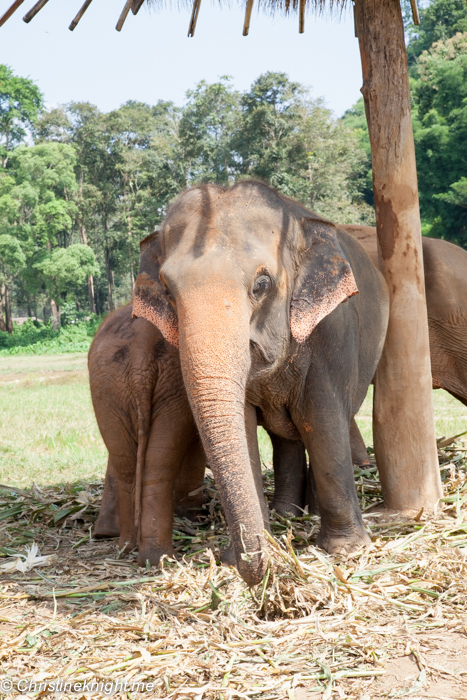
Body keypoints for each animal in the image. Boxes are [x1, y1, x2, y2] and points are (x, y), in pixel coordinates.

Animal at [88, 300, 206, 564]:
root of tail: (140, 353)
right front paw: (193, 517)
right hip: (161, 385)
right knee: (155, 461)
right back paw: (159, 556)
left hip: (110, 386)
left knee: (128, 461)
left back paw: (132, 548)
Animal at [133, 180, 392, 584]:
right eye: (168, 290)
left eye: (262, 284)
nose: (261, 569)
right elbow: (242, 429)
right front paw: (243, 556)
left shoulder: (330, 331)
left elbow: (322, 418)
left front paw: (346, 551)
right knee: (286, 439)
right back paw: (288, 513)